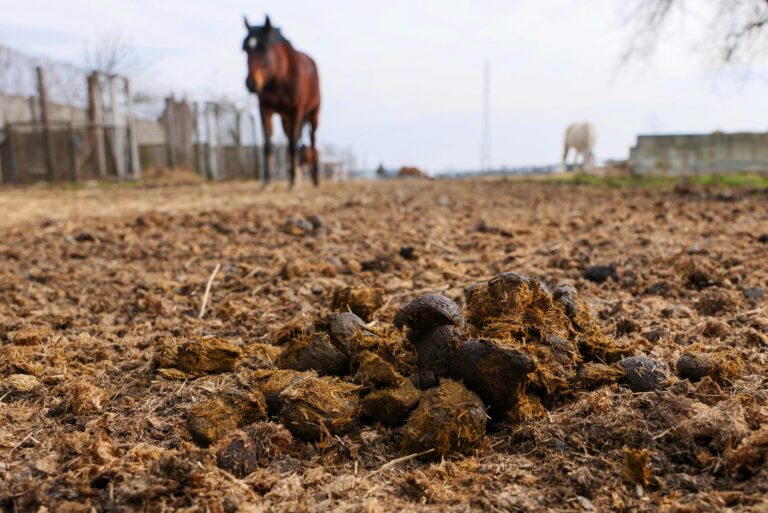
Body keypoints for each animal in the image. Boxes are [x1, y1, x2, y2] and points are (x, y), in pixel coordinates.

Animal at [243, 15, 321, 187]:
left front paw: (292, 181)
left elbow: (292, 144)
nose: (251, 83)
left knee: (312, 139)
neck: (278, 78)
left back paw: (314, 178)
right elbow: (268, 144)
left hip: (313, 112)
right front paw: (267, 181)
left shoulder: (297, 110)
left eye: (264, 48)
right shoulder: (265, 108)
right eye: (245, 50)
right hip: (286, 118)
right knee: (292, 137)